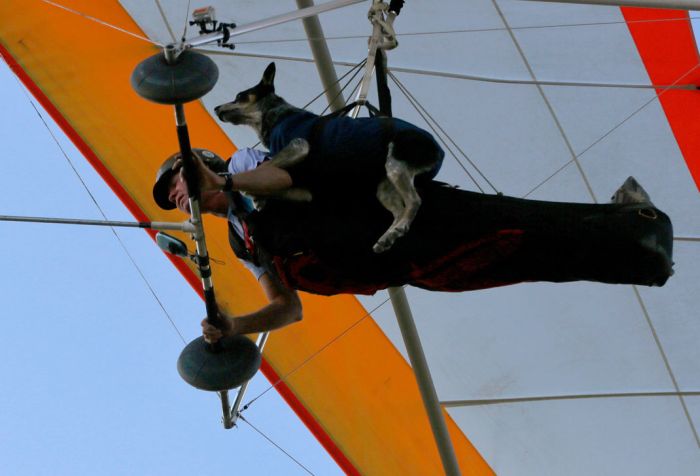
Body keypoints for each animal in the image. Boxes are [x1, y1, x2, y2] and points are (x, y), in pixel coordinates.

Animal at [213, 62, 442, 253]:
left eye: (240, 95)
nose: (215, 108)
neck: (277, 116)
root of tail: (439, 151)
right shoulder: (304, 191)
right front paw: (259, 198)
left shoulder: (298, 146)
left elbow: (259, 169)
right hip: (384, 186)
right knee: (399, 209)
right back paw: (389, 236)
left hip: (396, 164)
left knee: (414, 201)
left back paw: (400, 227)